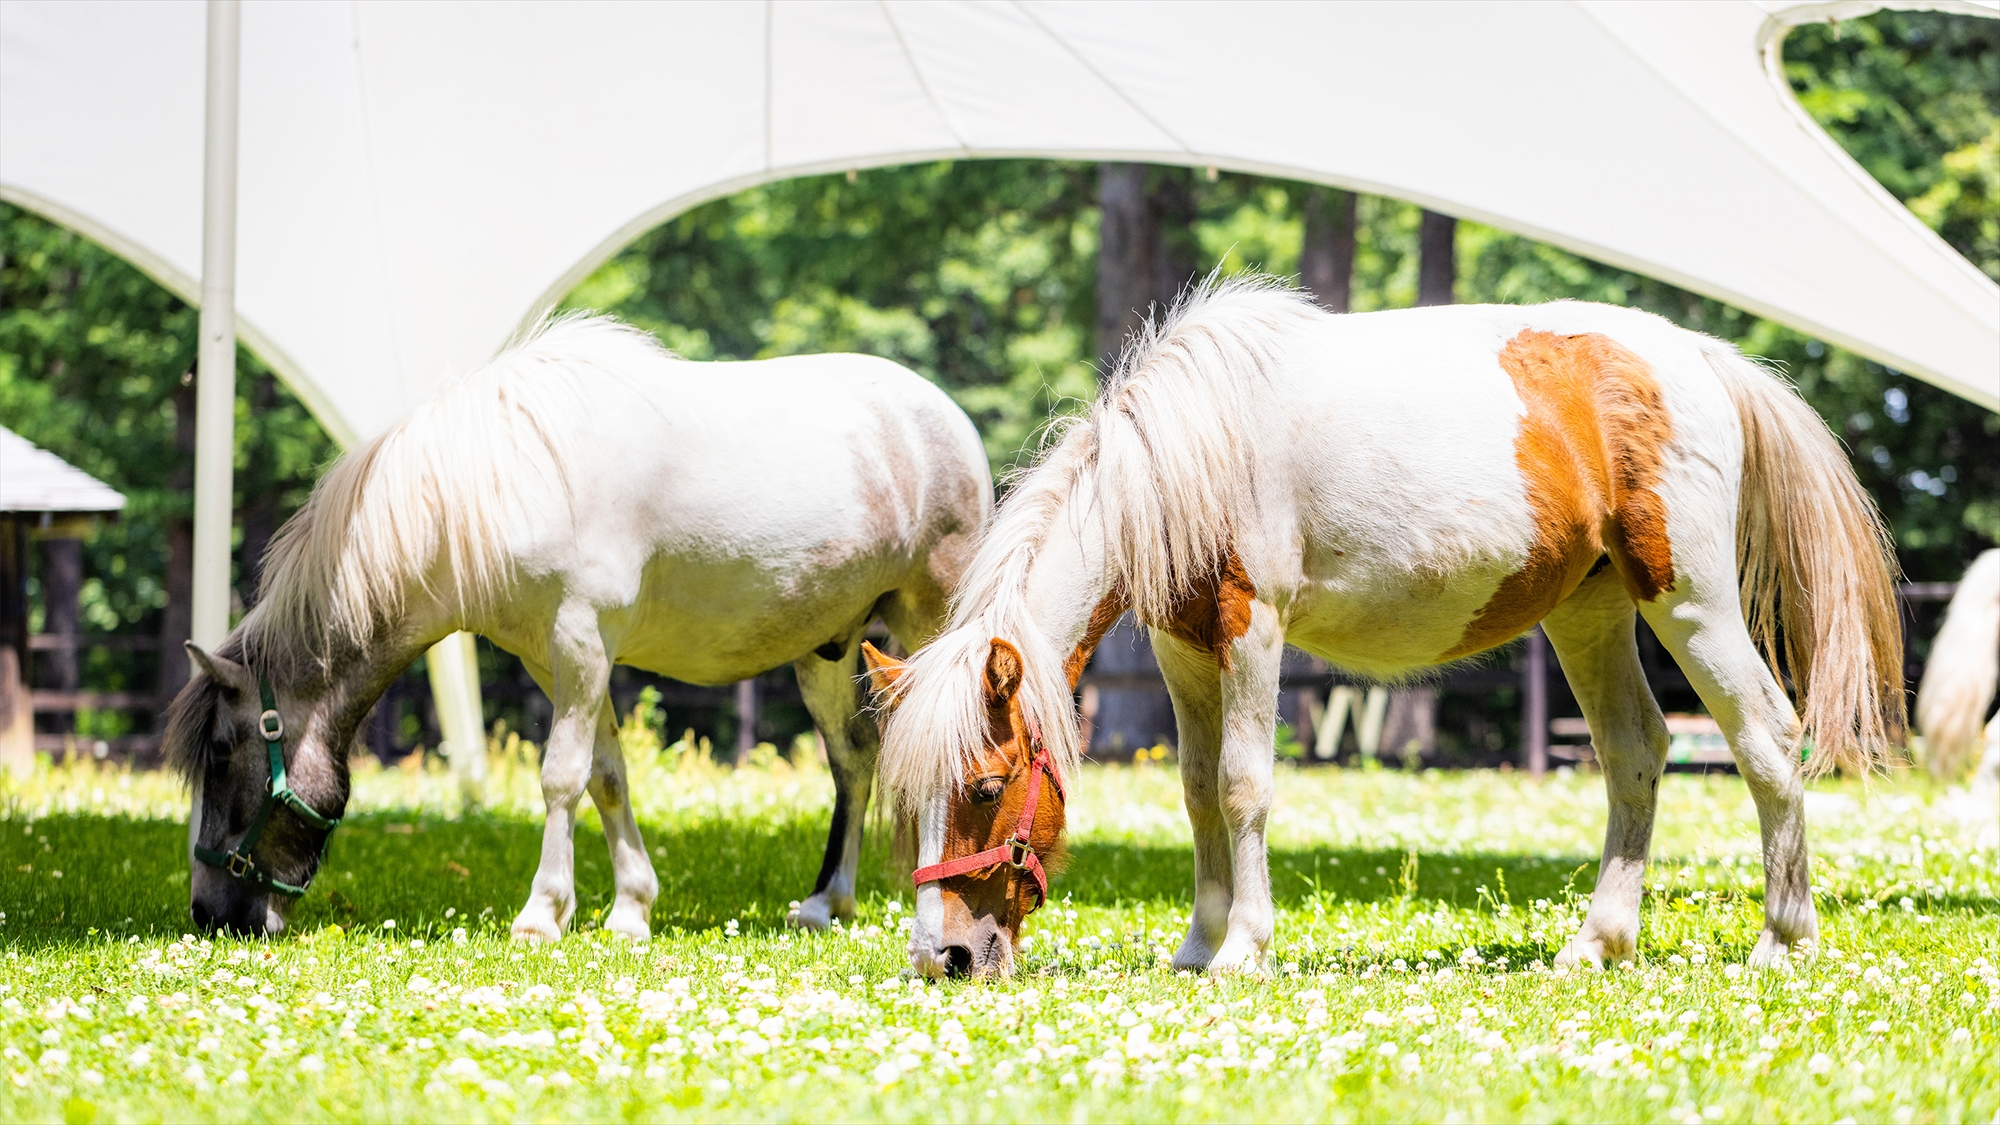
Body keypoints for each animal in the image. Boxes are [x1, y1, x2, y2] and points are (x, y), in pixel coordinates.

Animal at [164, 316, 992, 936]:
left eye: (223, 752)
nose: (211, 914)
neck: (499, 483)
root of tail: (948, 419)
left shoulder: (581, 642)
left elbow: (561, 775)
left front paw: (543, 912)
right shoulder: (552, 657)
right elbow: (605, 774)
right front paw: (630, 909)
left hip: (932, 620)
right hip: (825, 648)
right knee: (854, 756)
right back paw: (828, 900)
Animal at [868, 278, 1896, 972]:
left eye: (986, 785)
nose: (941, 957)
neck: (1189, 449)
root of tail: (1700, 357)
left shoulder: (1252, 630)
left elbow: (1242, 786)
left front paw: (1243, 947)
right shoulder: (1183, 648)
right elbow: (1197, 791)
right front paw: (1198, 944)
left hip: (1689, 600)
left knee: (1768, 737)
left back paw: (1783, 938)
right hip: (1590, 611)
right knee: (1635, 752)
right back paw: (1599, 942)